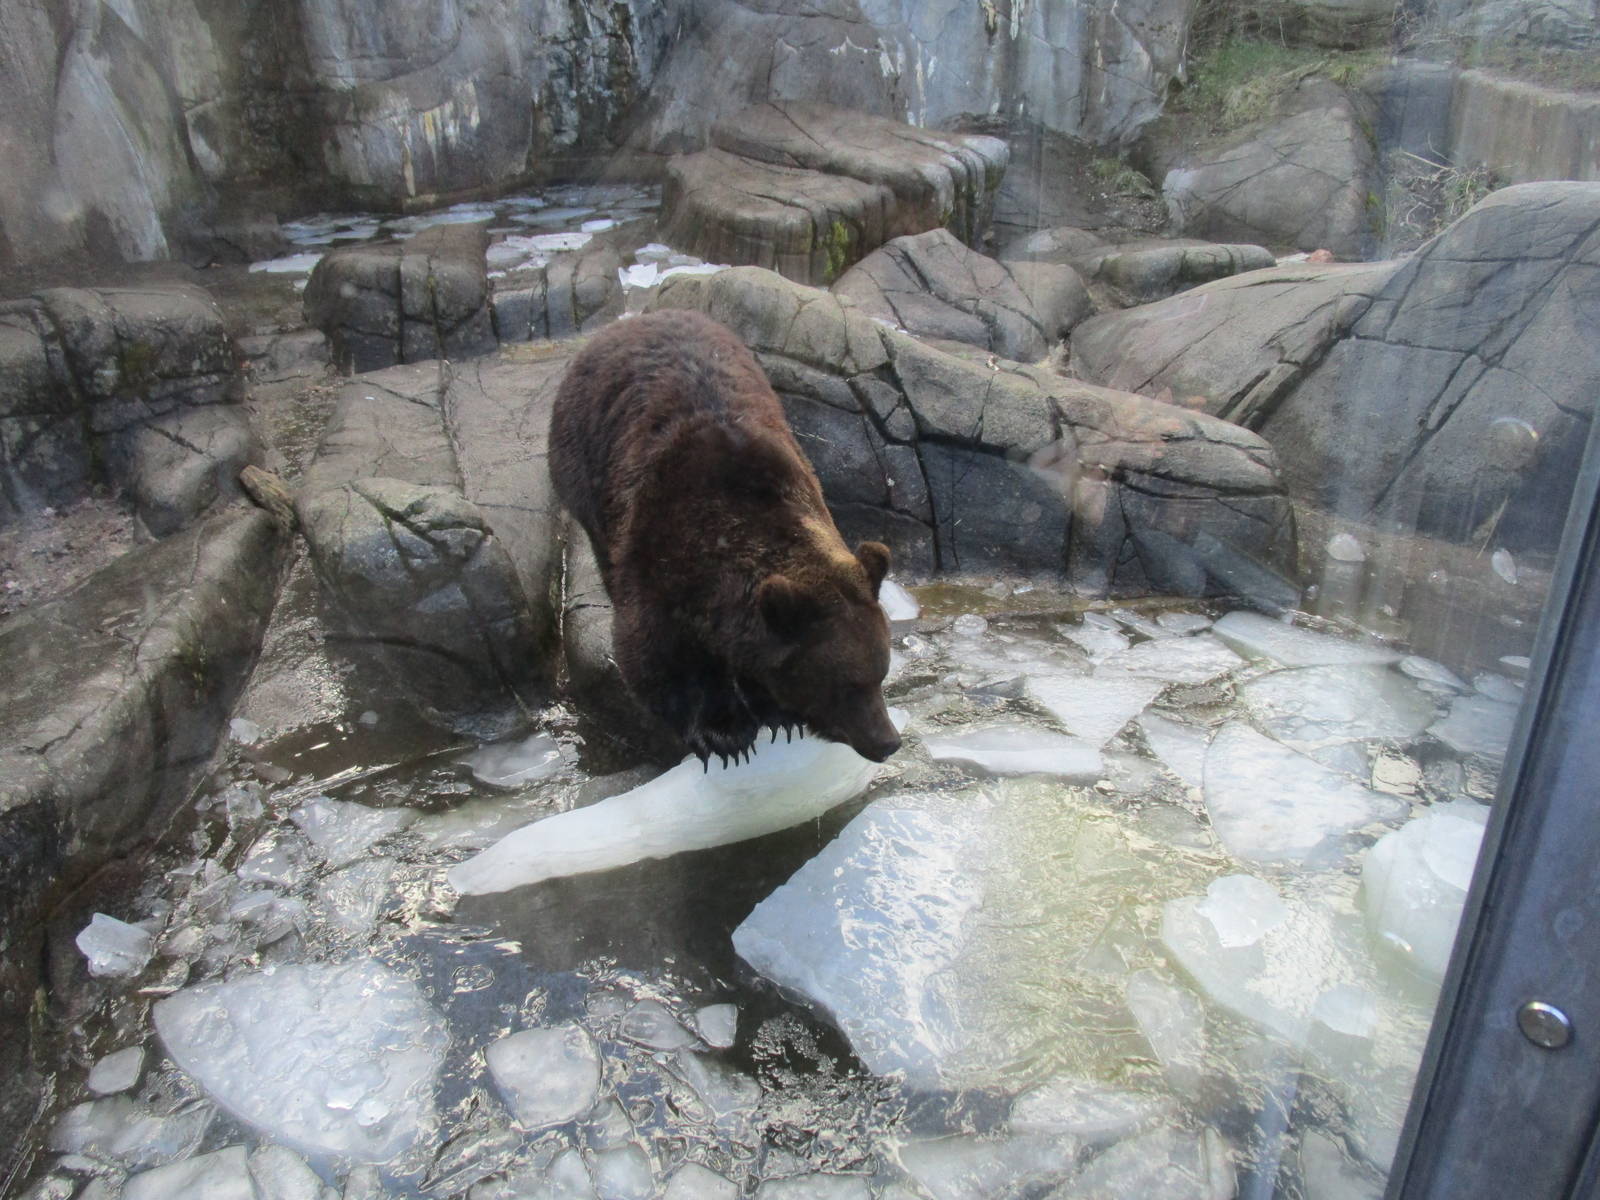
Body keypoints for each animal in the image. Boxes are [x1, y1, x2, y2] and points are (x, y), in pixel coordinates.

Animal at [549, 308, 901, 767]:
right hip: (583, 465)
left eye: (881, 672)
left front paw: (777, 713)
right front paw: (723, 732)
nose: (887, 741)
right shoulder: (658, 559)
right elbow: (657, 656)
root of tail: (632, 320)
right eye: (845, 685)